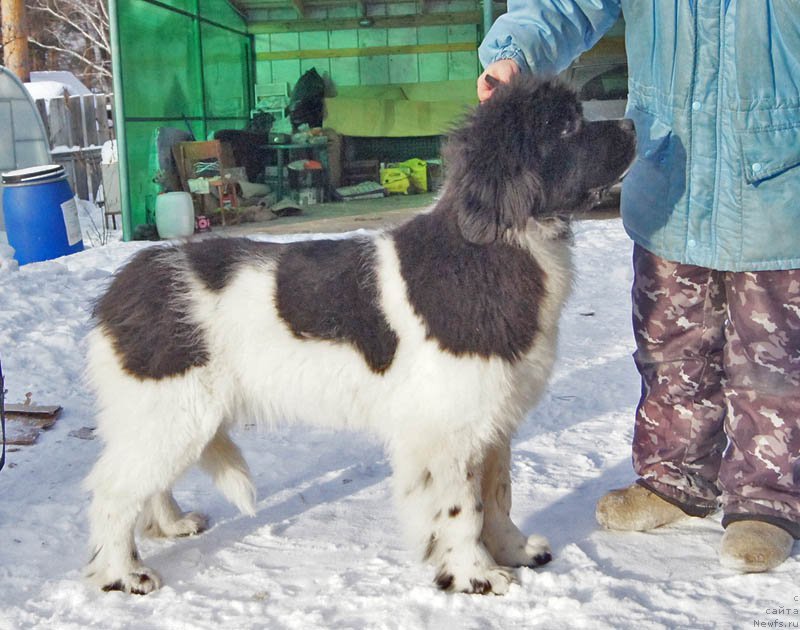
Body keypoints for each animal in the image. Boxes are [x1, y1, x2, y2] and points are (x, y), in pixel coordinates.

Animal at [86, 75, 636, 596]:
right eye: (566, 128)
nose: (633, 125)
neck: (495, 246)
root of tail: (120, 287)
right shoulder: (447, 427)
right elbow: (464, 509)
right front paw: (474, 576)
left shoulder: (493, 417)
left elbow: (498, 494)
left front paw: (514, 551)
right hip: (174, 412)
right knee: (111, 493)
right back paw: (123, 574)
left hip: (169, 418)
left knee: (143, 484)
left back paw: (171, 526)